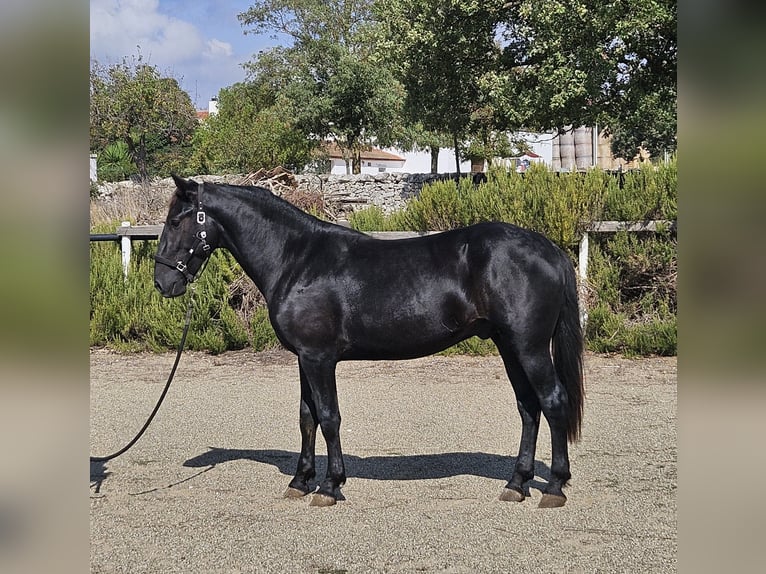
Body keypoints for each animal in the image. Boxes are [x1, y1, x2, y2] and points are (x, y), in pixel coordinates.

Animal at [156, 176, 588, 508]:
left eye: (177, 220)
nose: (163, 282)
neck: (297, 260)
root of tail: (549, 249)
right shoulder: (303, 358)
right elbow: (307, 417)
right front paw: (300, 481)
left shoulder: (319, 358)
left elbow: (329, 417)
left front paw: (329, 487)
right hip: (508, 345)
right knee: (528, 407)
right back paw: (516, 484)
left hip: (530, 348)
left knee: (553, 402)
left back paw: (554, 486)